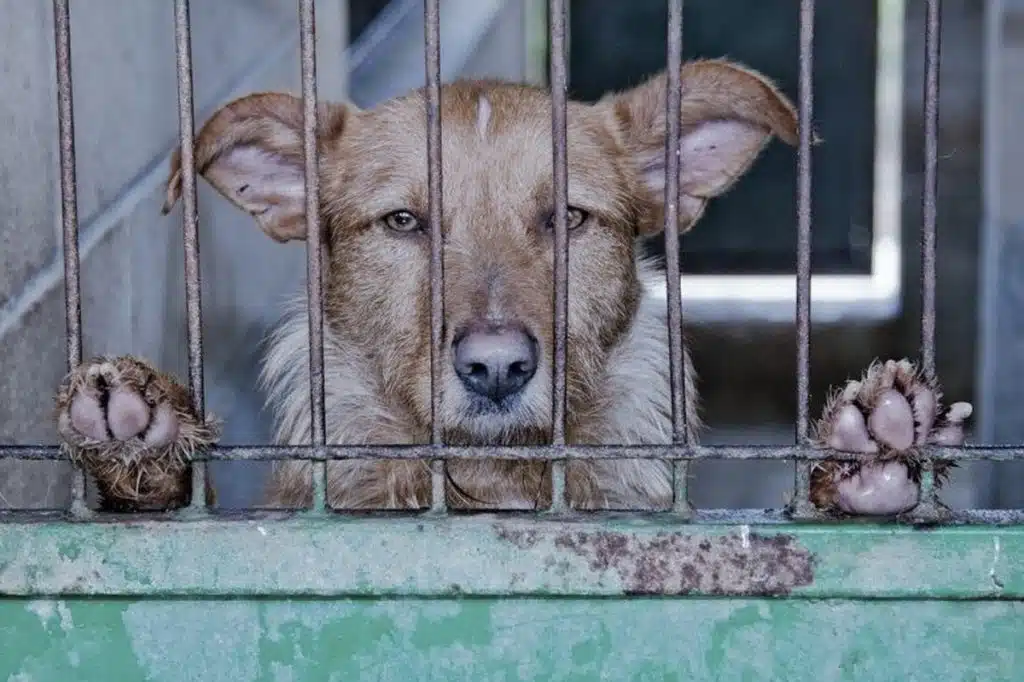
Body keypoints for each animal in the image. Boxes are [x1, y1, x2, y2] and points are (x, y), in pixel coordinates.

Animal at [56, 59, 974, 516]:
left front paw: (863, 460)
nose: (496, 369)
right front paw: (141, 440)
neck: (494, 481)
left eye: (567, 217)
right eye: (404, 222)